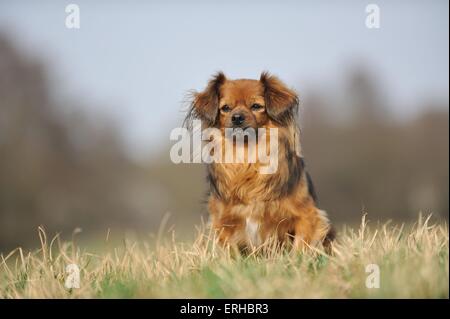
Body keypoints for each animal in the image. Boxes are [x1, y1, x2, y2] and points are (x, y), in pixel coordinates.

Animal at [184, 71, 334, 254]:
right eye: (225, 108)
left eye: (256, 106)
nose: (237, 118)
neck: (247, 158)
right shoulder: (224, 222)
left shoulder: (307, 216)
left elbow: (300, 247)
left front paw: (297, 260)